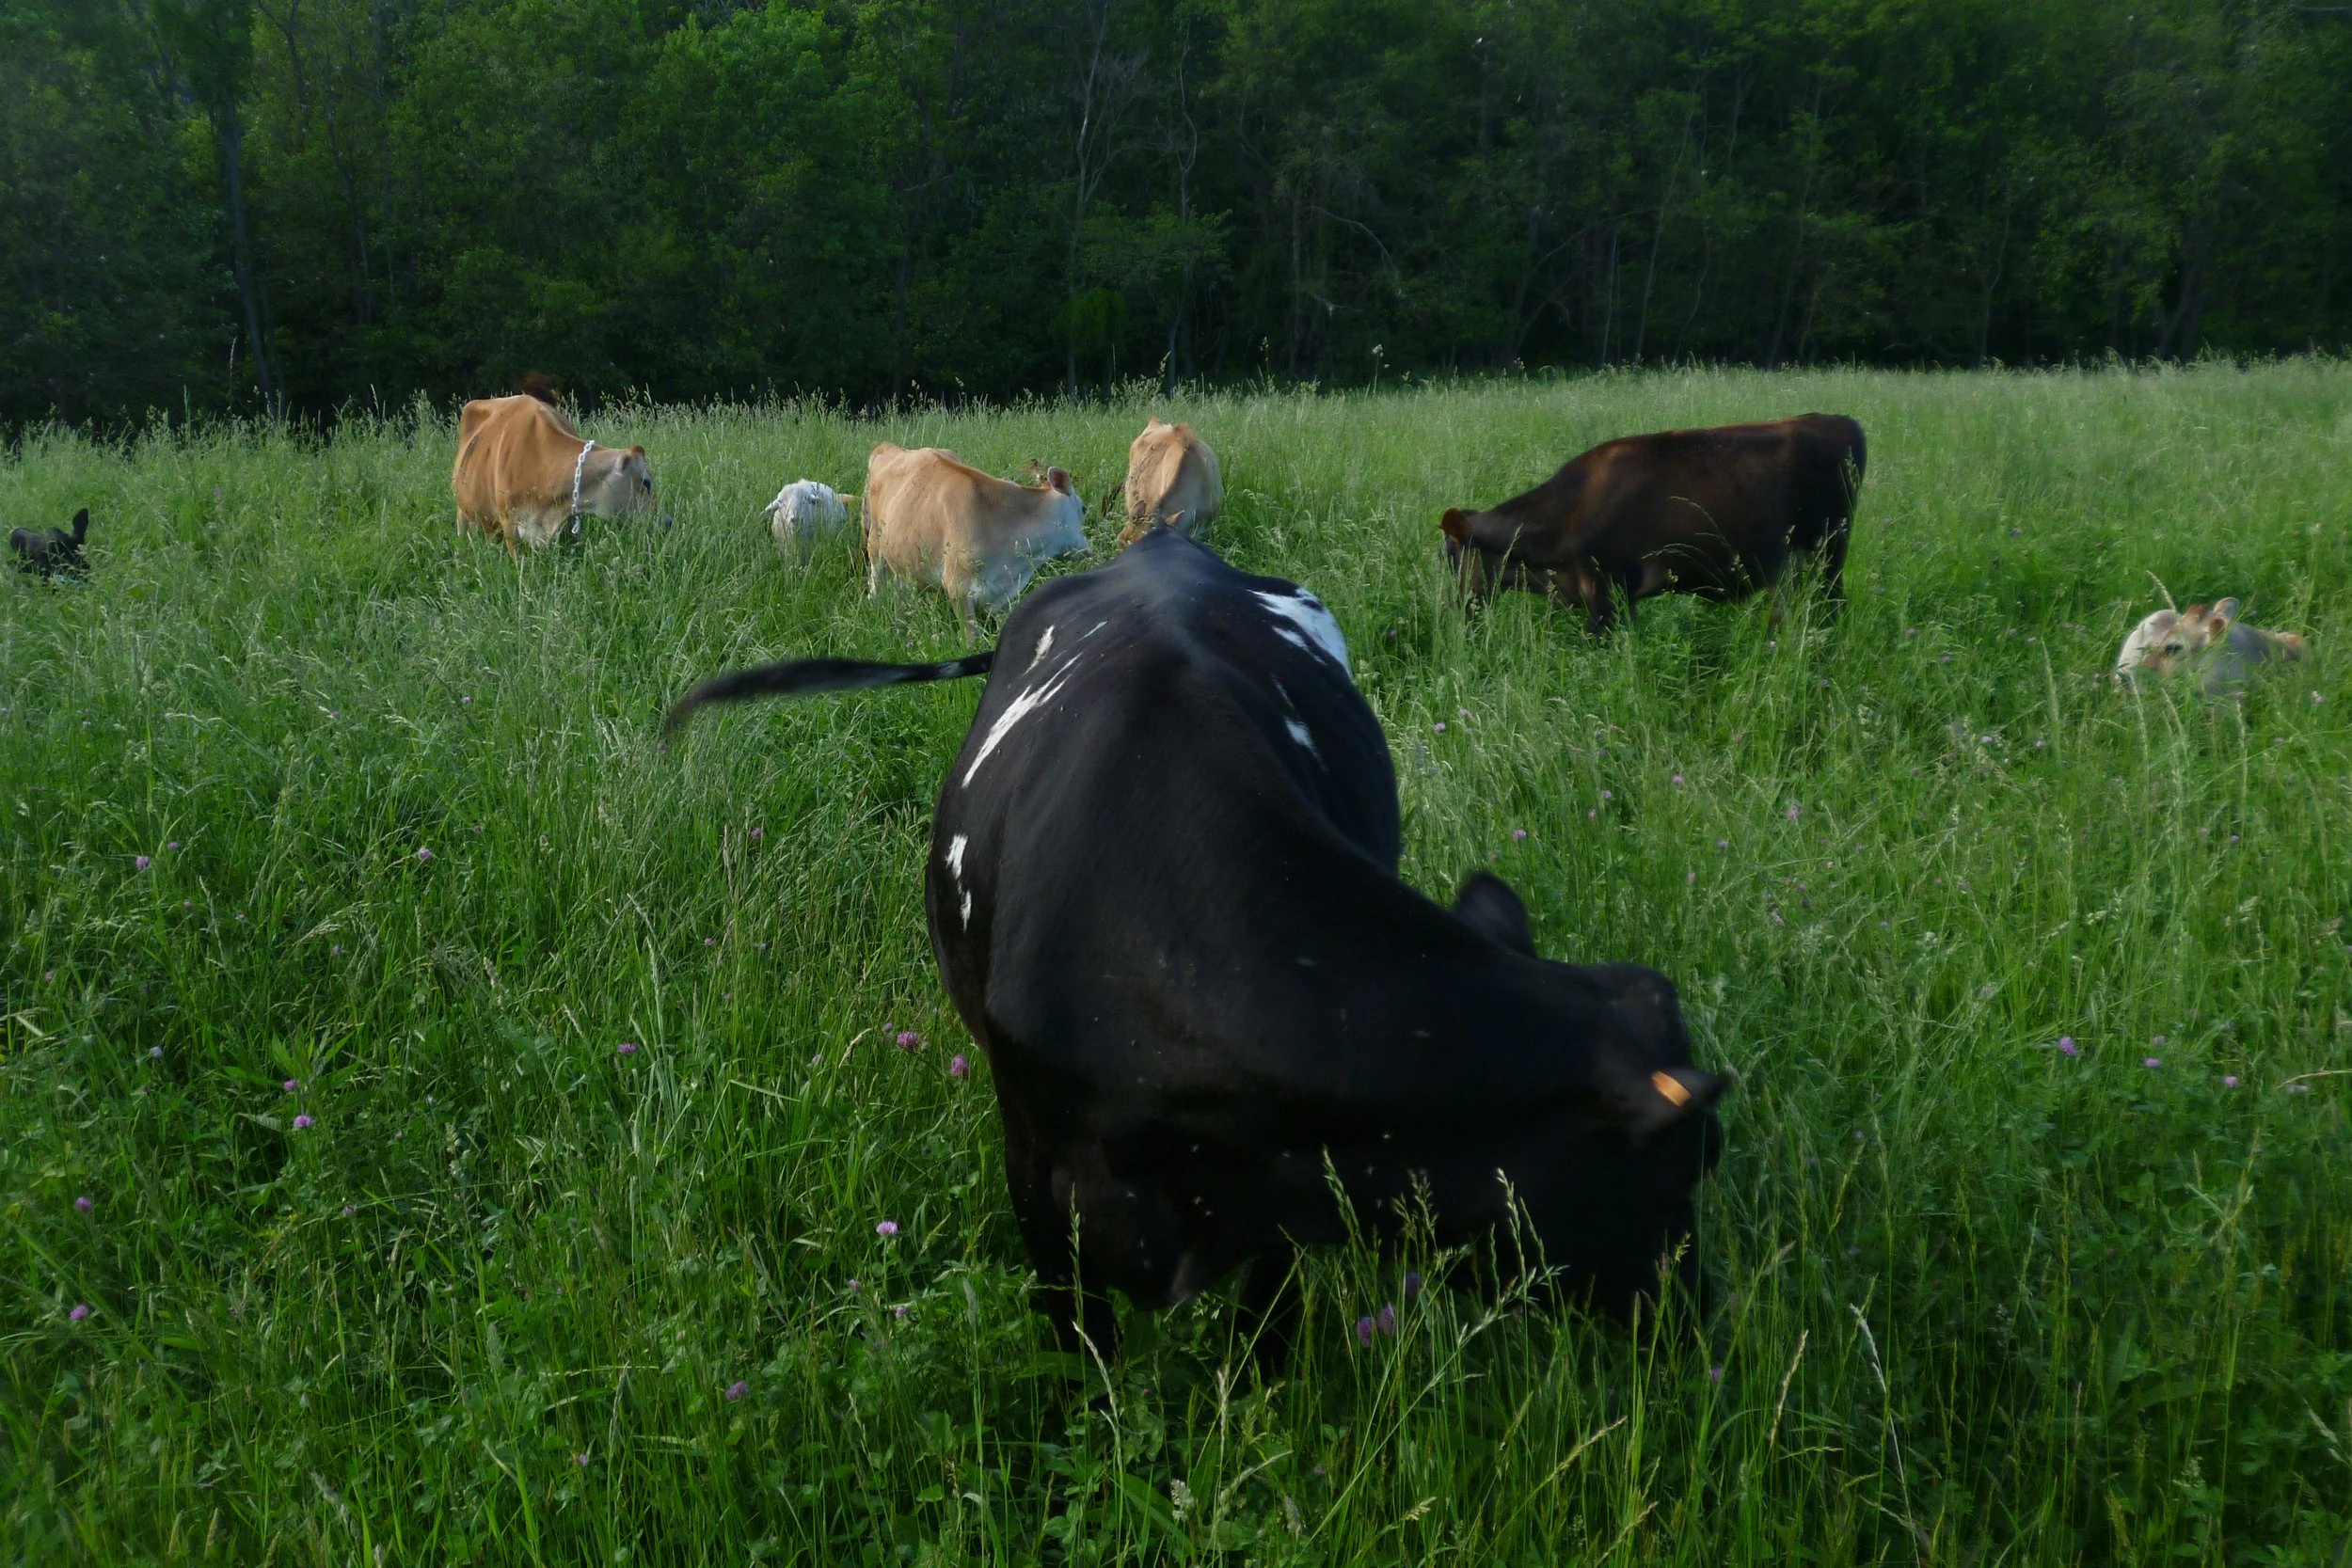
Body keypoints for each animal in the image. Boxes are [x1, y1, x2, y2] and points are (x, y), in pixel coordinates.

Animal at [664, 529, 1727, 1369]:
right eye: (1687, 1169)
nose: (1700, 1326)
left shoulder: (1294, 1192)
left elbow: (1261, 1345)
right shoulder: (1038, 1180)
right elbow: (1080, 1359)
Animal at [862, 443, 1089, 640]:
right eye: (1084, 509)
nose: (1087, 549)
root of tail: (888, 447)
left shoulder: (1001, 594)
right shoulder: (958, 589)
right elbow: (973, 639)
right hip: (874, 544)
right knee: (875, 581)